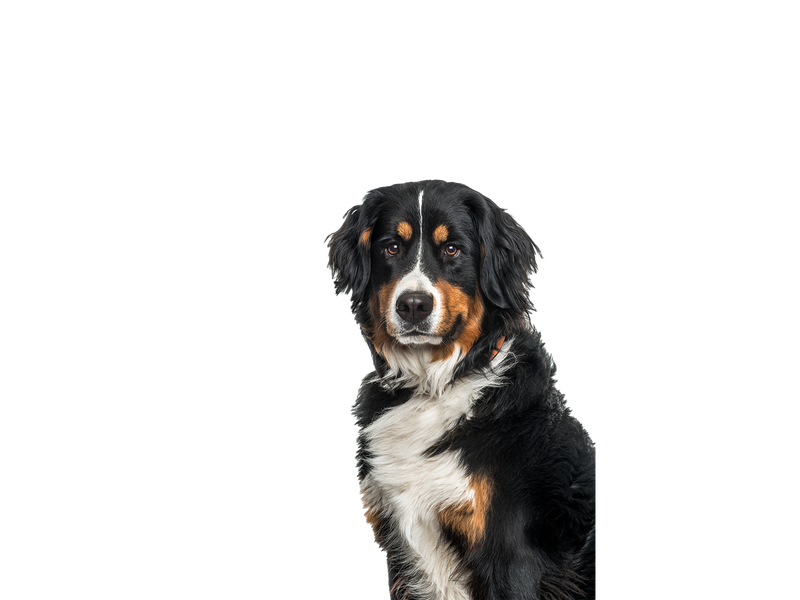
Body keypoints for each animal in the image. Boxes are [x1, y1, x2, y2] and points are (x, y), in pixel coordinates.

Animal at [324, 179, 592, 600]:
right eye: (391, 247)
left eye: (452, 249)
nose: (413, 306)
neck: (434, 385)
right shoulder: (401, 549)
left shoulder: (512, 554)